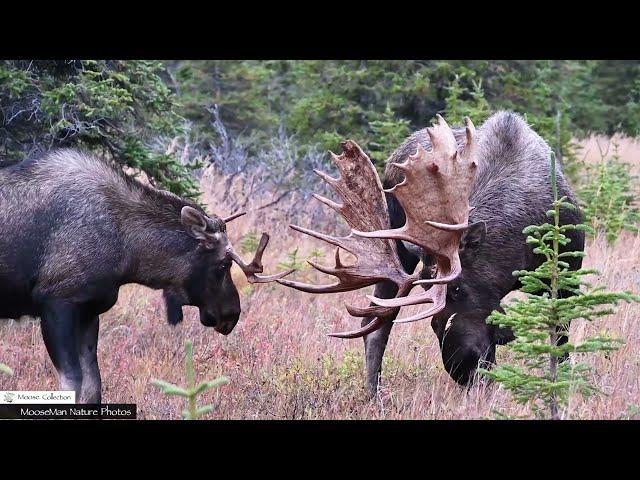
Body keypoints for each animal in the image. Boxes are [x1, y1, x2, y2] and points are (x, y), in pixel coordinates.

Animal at [1, 149, 292, 402]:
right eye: (223, 265)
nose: (232, 315)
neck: (127, 252)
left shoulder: (89, 310)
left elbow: (93, 386)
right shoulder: (55, 302)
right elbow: (71, 383)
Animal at [280, 111, 584, 394]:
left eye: (458, 289)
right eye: (428, 294)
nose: (462, 367)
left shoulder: (567, 274)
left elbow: (560, 340)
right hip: (396, 244)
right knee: (376, 324)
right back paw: (373, 393)